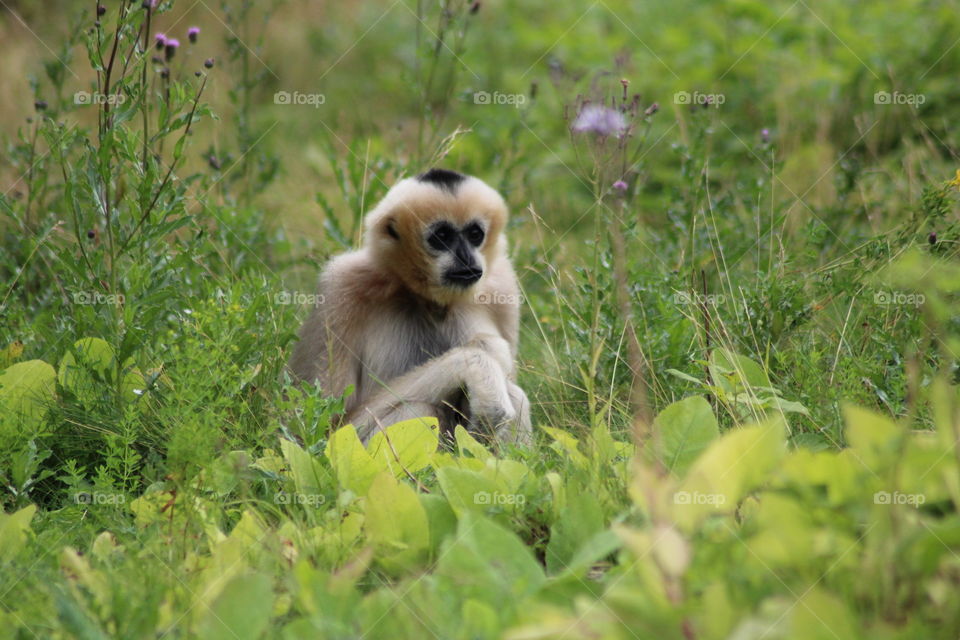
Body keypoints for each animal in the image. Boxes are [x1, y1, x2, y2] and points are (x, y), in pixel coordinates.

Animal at [287, 168, 532, 447]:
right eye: (442, 236)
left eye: (475, 234)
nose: (466, 258)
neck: (429, 300)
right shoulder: (341, 286)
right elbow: (323, 428)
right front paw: (479, 361)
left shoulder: (503, 284)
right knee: (418, 408)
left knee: (515, 394)